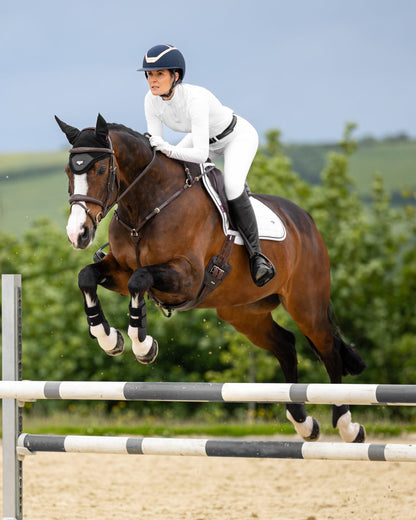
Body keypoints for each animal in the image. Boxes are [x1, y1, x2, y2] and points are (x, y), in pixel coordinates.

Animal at [57, 114, 366, 442]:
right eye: (69, 170)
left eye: (101, 170)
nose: (77, 234)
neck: (148, 205)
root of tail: (306, 222)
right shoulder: (118, 269)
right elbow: (87, 277)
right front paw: (108, 338)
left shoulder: (187, 278)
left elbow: (139, 280)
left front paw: (143, 346)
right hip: (243, 312)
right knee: (285, 344)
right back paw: (303, 422)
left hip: (306, 304)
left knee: (327, 348)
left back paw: (347, 425)